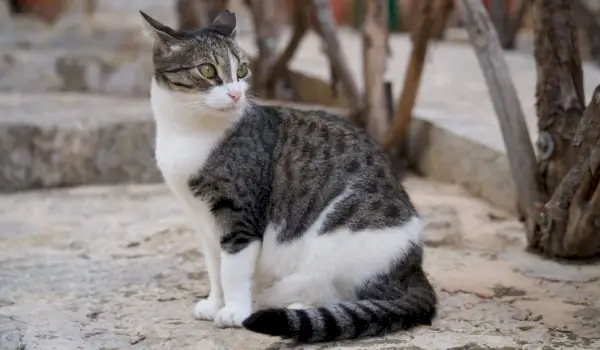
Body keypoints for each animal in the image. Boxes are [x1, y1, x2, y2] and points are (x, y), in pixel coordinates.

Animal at [143, 9, 438, 344]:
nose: (235, 94)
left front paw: (233, 310)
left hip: (334, 245)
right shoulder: (203, 221)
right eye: (207, 70)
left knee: (351, 295)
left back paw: (296, 308)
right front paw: (215, 302)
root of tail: (413, 267)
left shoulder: (239, 216)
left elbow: (232, 270)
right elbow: (214, 267)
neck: (188, 130)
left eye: (241, 70)